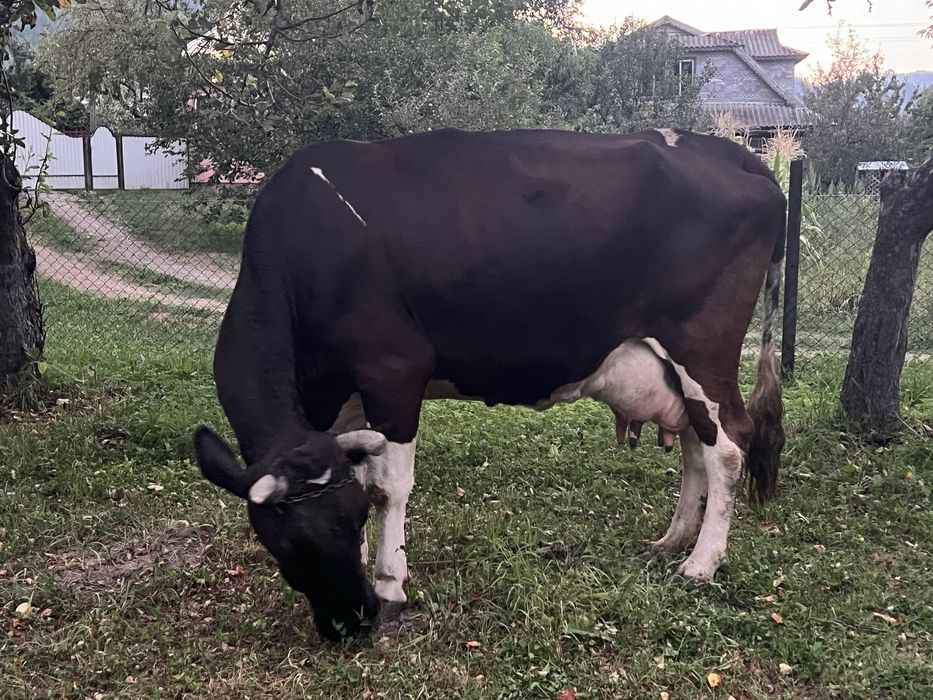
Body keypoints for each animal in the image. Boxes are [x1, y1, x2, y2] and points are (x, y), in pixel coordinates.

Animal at [192, 127, 786, 641]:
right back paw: (673, 540)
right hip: (677, 369)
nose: (351, 625)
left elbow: (390, 486)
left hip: (702, 347)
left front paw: (390, 584)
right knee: (694, 444)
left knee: (728, 446)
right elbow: (360, 472)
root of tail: (727, 151)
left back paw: (701, 563)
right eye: (289, 546)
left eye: (348, 522)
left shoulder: (394, 370)